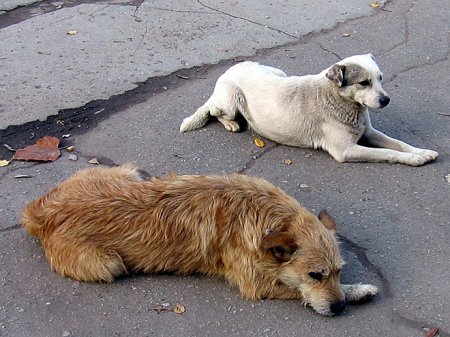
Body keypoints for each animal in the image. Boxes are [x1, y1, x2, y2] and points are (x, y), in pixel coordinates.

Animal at [22, 164, 378, 314]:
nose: (338, 308)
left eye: (338, 270)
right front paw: (357, 291)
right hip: (109, 264)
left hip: (128, 173)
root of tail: (40, 211)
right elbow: (294, 290)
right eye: (315, 275)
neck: (263, 216)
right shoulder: (256, 285)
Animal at [181, 53, 438, 166]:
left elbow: (398, 144)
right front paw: (413, 159)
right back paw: (231, 123)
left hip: (279, 72)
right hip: (230, 99)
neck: (337, 98)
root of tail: (229, 70)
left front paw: (421, 151)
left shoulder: (369, 132)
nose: (386, 100)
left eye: (380, 78)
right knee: (214, 112)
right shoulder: (345, 151)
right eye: (363, 83)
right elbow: (386, 152)